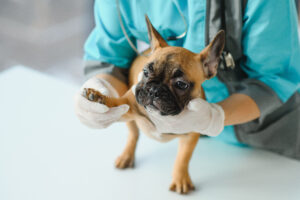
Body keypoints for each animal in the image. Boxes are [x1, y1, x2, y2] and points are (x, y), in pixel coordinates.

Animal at [83, 16, 224, 195]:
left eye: (181, 84)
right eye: (145, 72)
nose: (154, 90)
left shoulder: (190, 135)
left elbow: (183, 158)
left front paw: (180, 178)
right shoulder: (129, 105)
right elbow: (117, 103)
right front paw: (98, 98)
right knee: (133, 135)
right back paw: (127, 156)